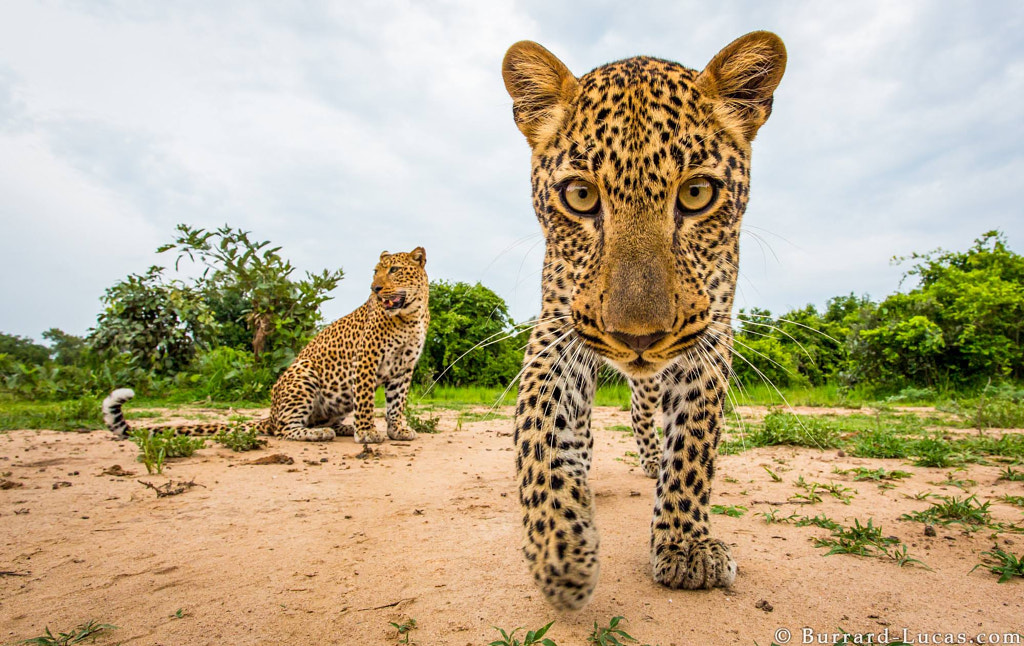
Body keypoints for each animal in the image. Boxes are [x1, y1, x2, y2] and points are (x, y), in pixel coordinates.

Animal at [107, 247, 432, 444]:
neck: (409, 316)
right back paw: (319, 433)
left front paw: (397, 430)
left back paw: (339, 427)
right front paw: (366, 433)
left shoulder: (403, 368)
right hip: (303, 373)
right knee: (284, 429)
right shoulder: (365, 360)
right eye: (375, 272)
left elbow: (396, 402)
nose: (375, 289)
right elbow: (365, 400)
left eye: (394, 270)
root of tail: (271, 413)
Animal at [501, 30, 782, 610]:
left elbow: (693, 442)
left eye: (697, 193)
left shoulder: (710, 334)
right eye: (580, 195)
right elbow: (538, 430)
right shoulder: (557, 328)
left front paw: (685, 544)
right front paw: (561, 549)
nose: (638, 338)